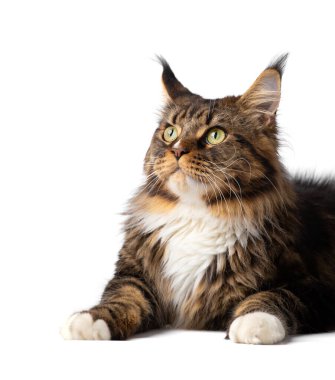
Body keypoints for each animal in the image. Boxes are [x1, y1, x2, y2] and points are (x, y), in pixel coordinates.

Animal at [61, 55, 335, 344]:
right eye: (170, 132)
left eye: (215, 135)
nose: (177, 150)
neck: (198, 214)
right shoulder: (134, 275)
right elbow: (123, 297)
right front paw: (89, 319)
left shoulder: (315, 287)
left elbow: (275, 295)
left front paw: (254, 321)